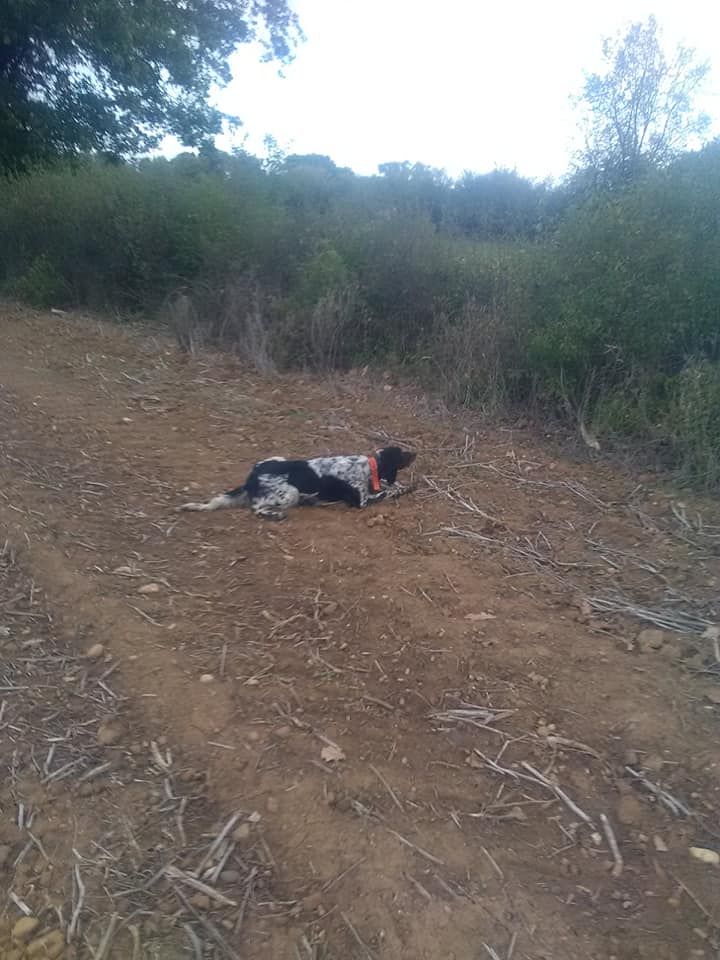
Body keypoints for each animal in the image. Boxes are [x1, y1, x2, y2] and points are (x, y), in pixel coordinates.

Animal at [177, 446, 420, 520]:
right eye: (401, 453)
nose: (416, 451)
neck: (369, 467)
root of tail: (251, 478)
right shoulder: (361, 502)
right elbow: (387, 493)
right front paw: (406, 488)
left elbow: (389, 487)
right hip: (290, 492)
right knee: (256, 508)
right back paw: (276, 515)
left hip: (277, 458)